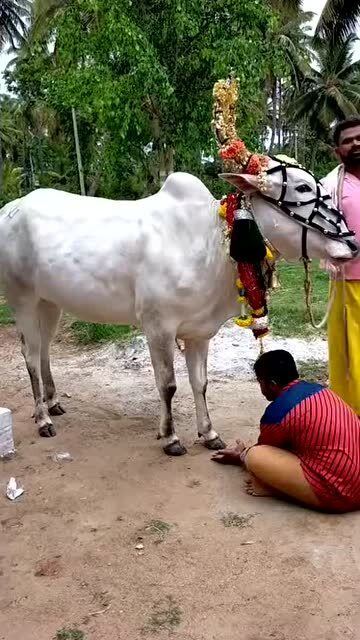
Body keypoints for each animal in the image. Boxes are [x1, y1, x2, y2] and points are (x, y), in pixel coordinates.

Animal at [0, 159, 356, 456]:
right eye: (303, 188)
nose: (352, 242)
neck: (212, 244)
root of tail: (11, 207)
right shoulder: (158, 326)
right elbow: (168, 385)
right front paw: (170, 438)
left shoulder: (199, 332)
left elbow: (200, 383)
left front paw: (209, 433)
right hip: (22, 299)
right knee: (30, 355)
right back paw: (43, 419)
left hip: (50, 303)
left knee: (44, 351)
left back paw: (53, 402)